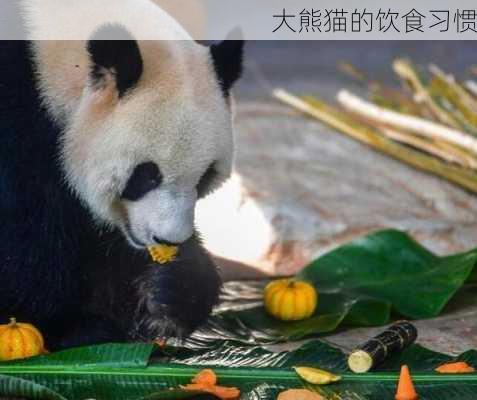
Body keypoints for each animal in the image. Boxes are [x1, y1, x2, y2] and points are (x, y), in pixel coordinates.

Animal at [0, 0, 244, 350]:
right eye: (146, 176)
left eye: (205, 178)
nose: (167, 239)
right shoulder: (17, 125)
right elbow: (28, 238)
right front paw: (81, 325)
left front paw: (168, 295)